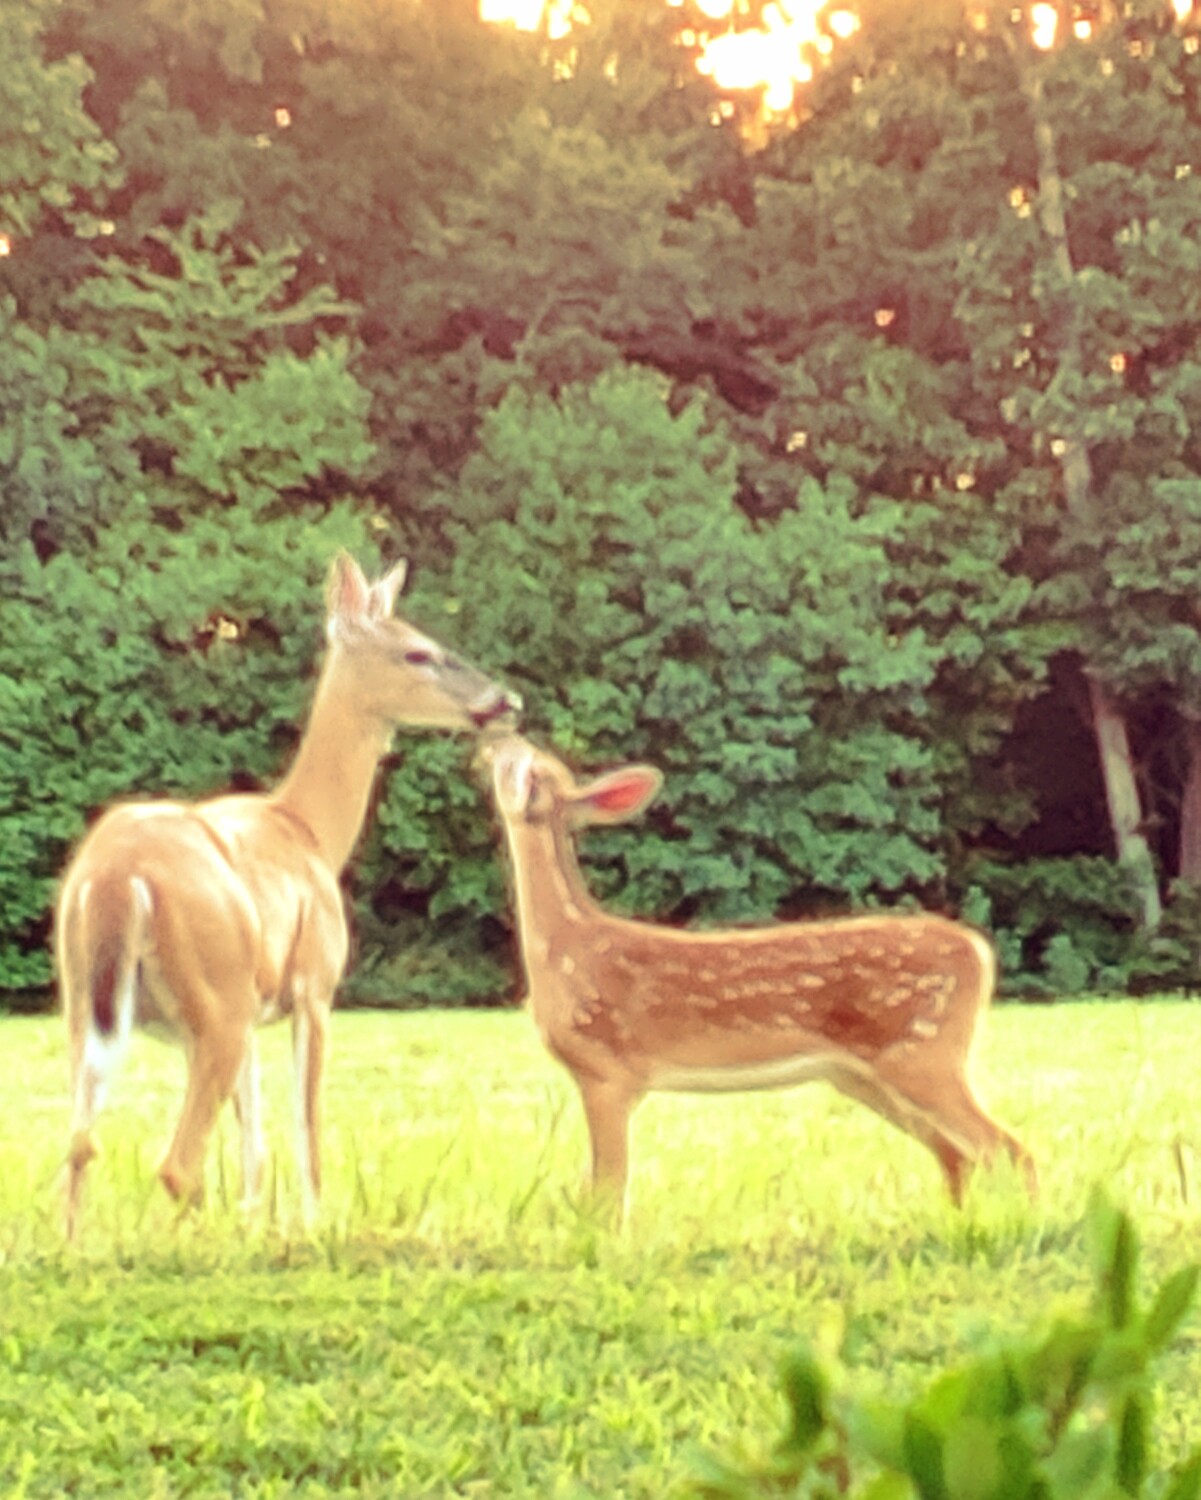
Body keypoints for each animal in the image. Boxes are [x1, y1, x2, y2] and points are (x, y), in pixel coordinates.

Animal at [56, 553, 518, 1237]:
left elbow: (254, 1145)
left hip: (89, 1001)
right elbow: (308, 1132)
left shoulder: (253, 1011)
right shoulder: (313, 987)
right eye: (417, 651)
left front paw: (257, 1228)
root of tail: (117, 874)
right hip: (214, 993)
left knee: (81, 1144)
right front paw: (314, 1227)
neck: (310, 829)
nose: (506, 700)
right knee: (177, 1164)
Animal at [484, 733, 1034, 1223]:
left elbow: (608, 1189)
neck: (565, 948)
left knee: (1008, 1150)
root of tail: (978, 951)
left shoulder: (606, 1068)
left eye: (533, 770)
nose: (502, 740)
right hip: (867, 1075)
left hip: (924, 1054)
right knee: (958, 1156)